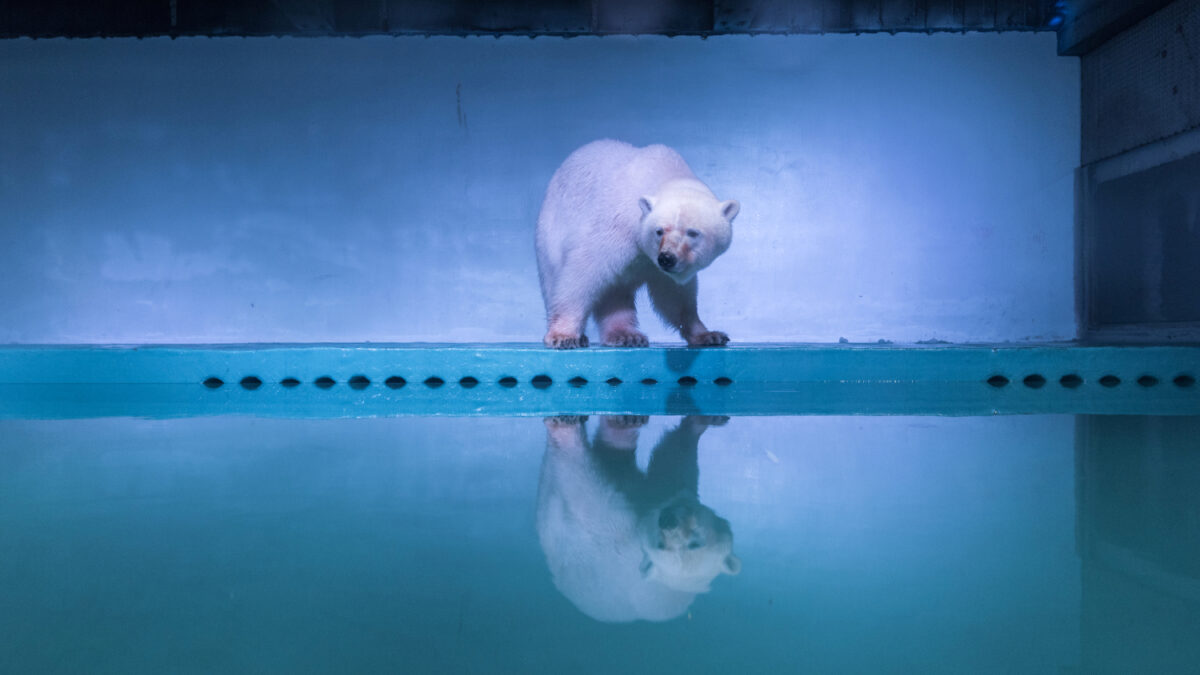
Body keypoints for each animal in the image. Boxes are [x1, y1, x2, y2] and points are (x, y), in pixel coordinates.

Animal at [537, 136, 739, 345]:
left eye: (692, 233)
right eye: (659, 231)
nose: (667, 258)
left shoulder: (658, 267)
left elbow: (674, 295)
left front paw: (707, 334)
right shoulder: (615, 228)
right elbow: (582, 273)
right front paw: (563, 335)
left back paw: (625, 334)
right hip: (551, 231)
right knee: (554, 277)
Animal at [537, 413, 739, 624]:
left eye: (694, 542)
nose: (668, 520)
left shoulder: (619, 532)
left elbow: (586, 486)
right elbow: (672, 464)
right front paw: (701, 422)